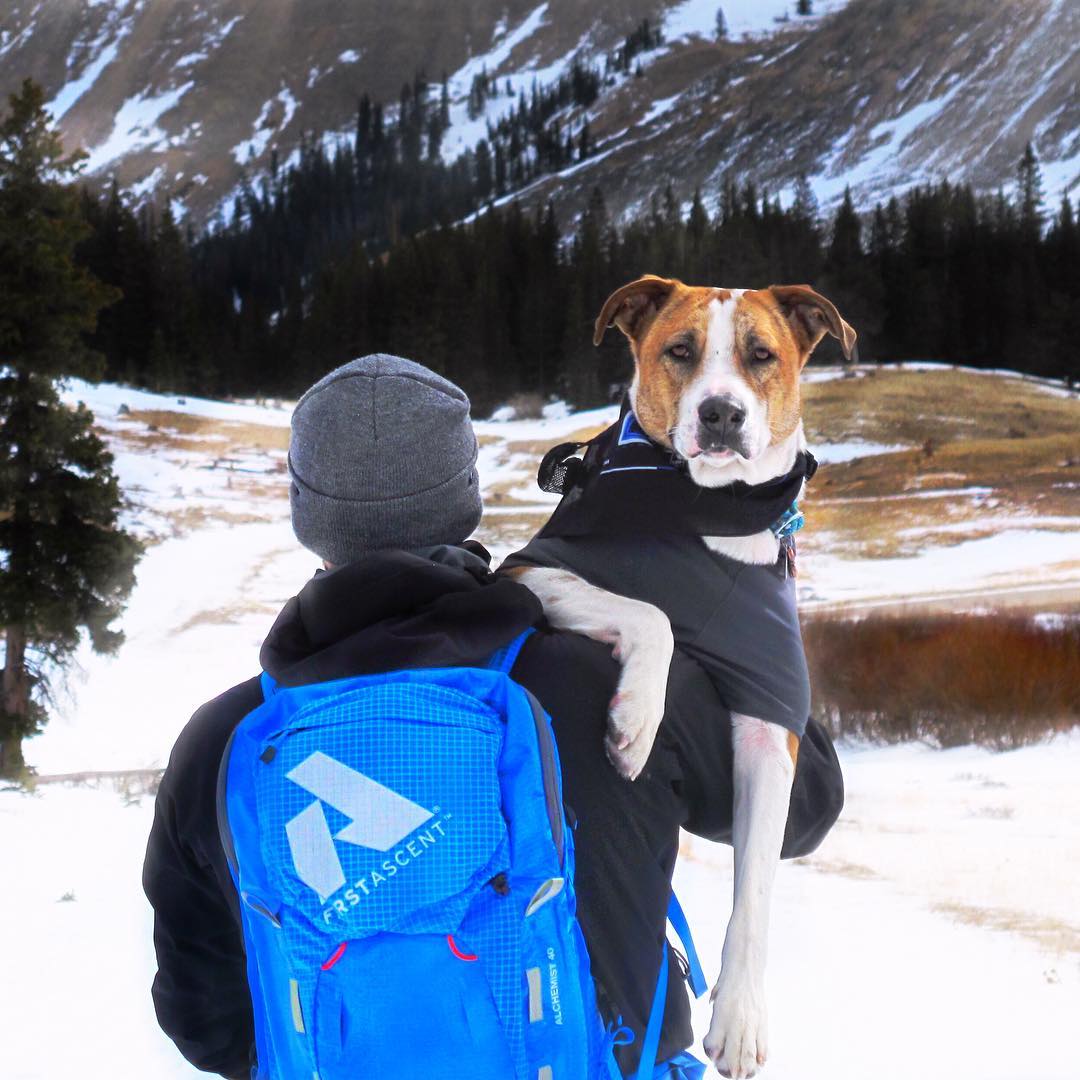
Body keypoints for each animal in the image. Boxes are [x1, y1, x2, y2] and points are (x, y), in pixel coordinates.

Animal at [505, 276, 851, 1080]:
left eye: (762, 355)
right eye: (681, 351)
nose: (720, 413)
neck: (708, 513)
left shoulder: (771, 725)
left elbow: (755, 889)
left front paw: (741, 1019)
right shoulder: (532, 572)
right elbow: (653, 614)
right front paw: (636, 722)